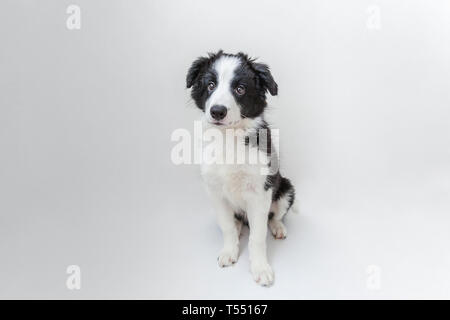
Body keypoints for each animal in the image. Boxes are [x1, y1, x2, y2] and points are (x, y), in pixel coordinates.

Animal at [186, 51, 296, 286]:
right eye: (210, 85)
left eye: (240, 89)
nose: (217, 111)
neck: (230, 138)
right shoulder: (215, 191)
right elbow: (226, 226)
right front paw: (229, 251)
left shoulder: (261, 192)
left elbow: (257, 236)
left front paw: (260, 268)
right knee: (234, 221)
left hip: (286, 189)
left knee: (275, 216)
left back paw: (278, 228)